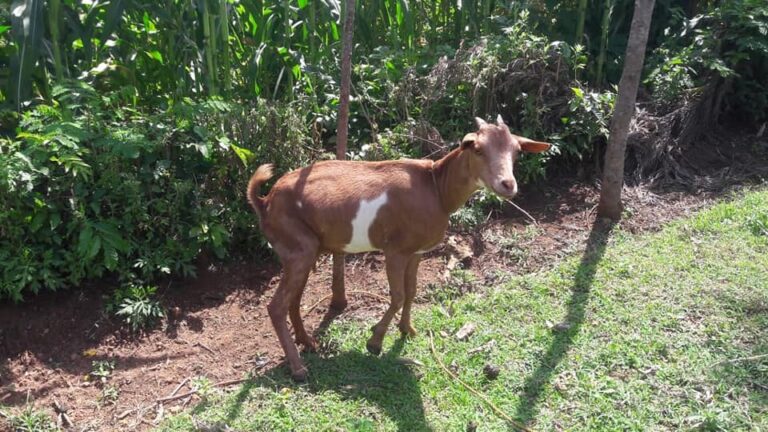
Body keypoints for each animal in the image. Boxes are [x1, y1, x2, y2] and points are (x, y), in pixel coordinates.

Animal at [247, 116, 551, 381]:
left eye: (517, 151)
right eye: (477, 148)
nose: (507, 184)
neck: (436, 188)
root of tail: (264, 201)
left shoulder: (416, 252)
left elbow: (412, 291)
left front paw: (407, 330)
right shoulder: (395, 250)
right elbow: (397, 295)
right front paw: (375, 341)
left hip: (306, 250)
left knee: (293, 300)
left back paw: (308, 343)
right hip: (297, 246)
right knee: (277, 306)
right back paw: (298, 368)